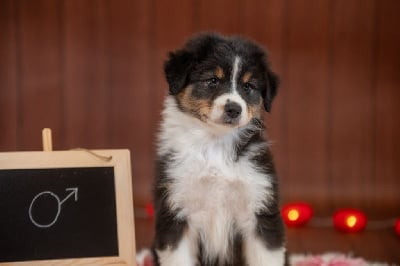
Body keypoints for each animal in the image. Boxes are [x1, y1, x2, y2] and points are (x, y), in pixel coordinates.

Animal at [153, 33, 284, 266]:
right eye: (212, 80)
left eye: (248, 86)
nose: (234, 109)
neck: (215, 143)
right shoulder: (175, 208)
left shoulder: (260, 208)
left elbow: (266, 257)